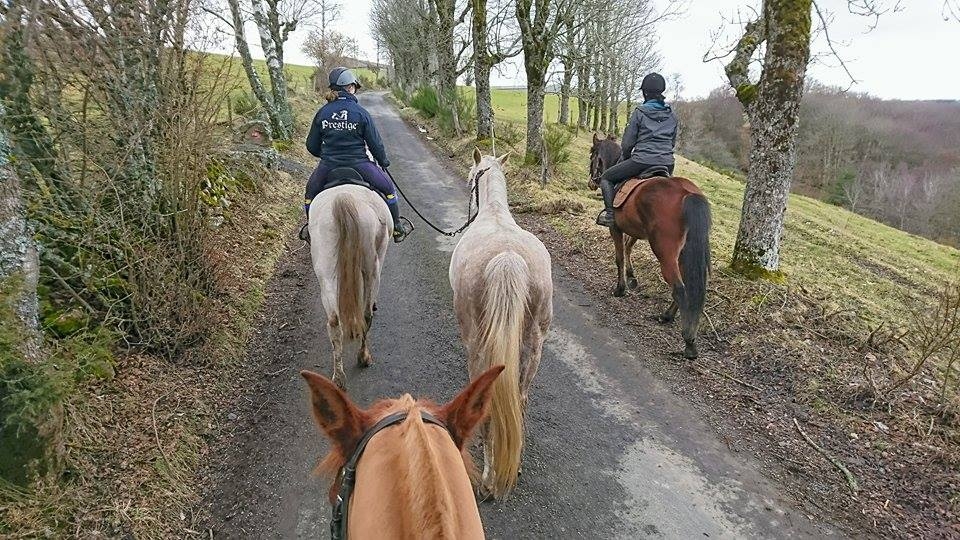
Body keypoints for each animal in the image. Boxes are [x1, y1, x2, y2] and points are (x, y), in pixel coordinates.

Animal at [308, 185, 392, 389]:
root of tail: (344, 198)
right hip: (372, 268)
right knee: (366, 315)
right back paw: (364, 357)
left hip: (326, 272)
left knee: (334, 322)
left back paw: (338, 378)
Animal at [449, 148, 554, 499]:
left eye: (471, 176)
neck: (494, 214)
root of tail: (508, 259)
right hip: (534, 343)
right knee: (520, 399)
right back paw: (513, 465)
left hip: (476, 342)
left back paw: (488, 479)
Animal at [589, 137, 712, 359]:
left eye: (591, 154)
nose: (592, 181)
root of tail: (687, 193)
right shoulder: (636, 231)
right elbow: (628, 248)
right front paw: (632, 278)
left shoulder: (615, 228)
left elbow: (619, 256)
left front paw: (620, 288)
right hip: (684, 252)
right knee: (687, 284)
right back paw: (669, 317)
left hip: (664, 251)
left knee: (679, 288)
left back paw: (687, 340)